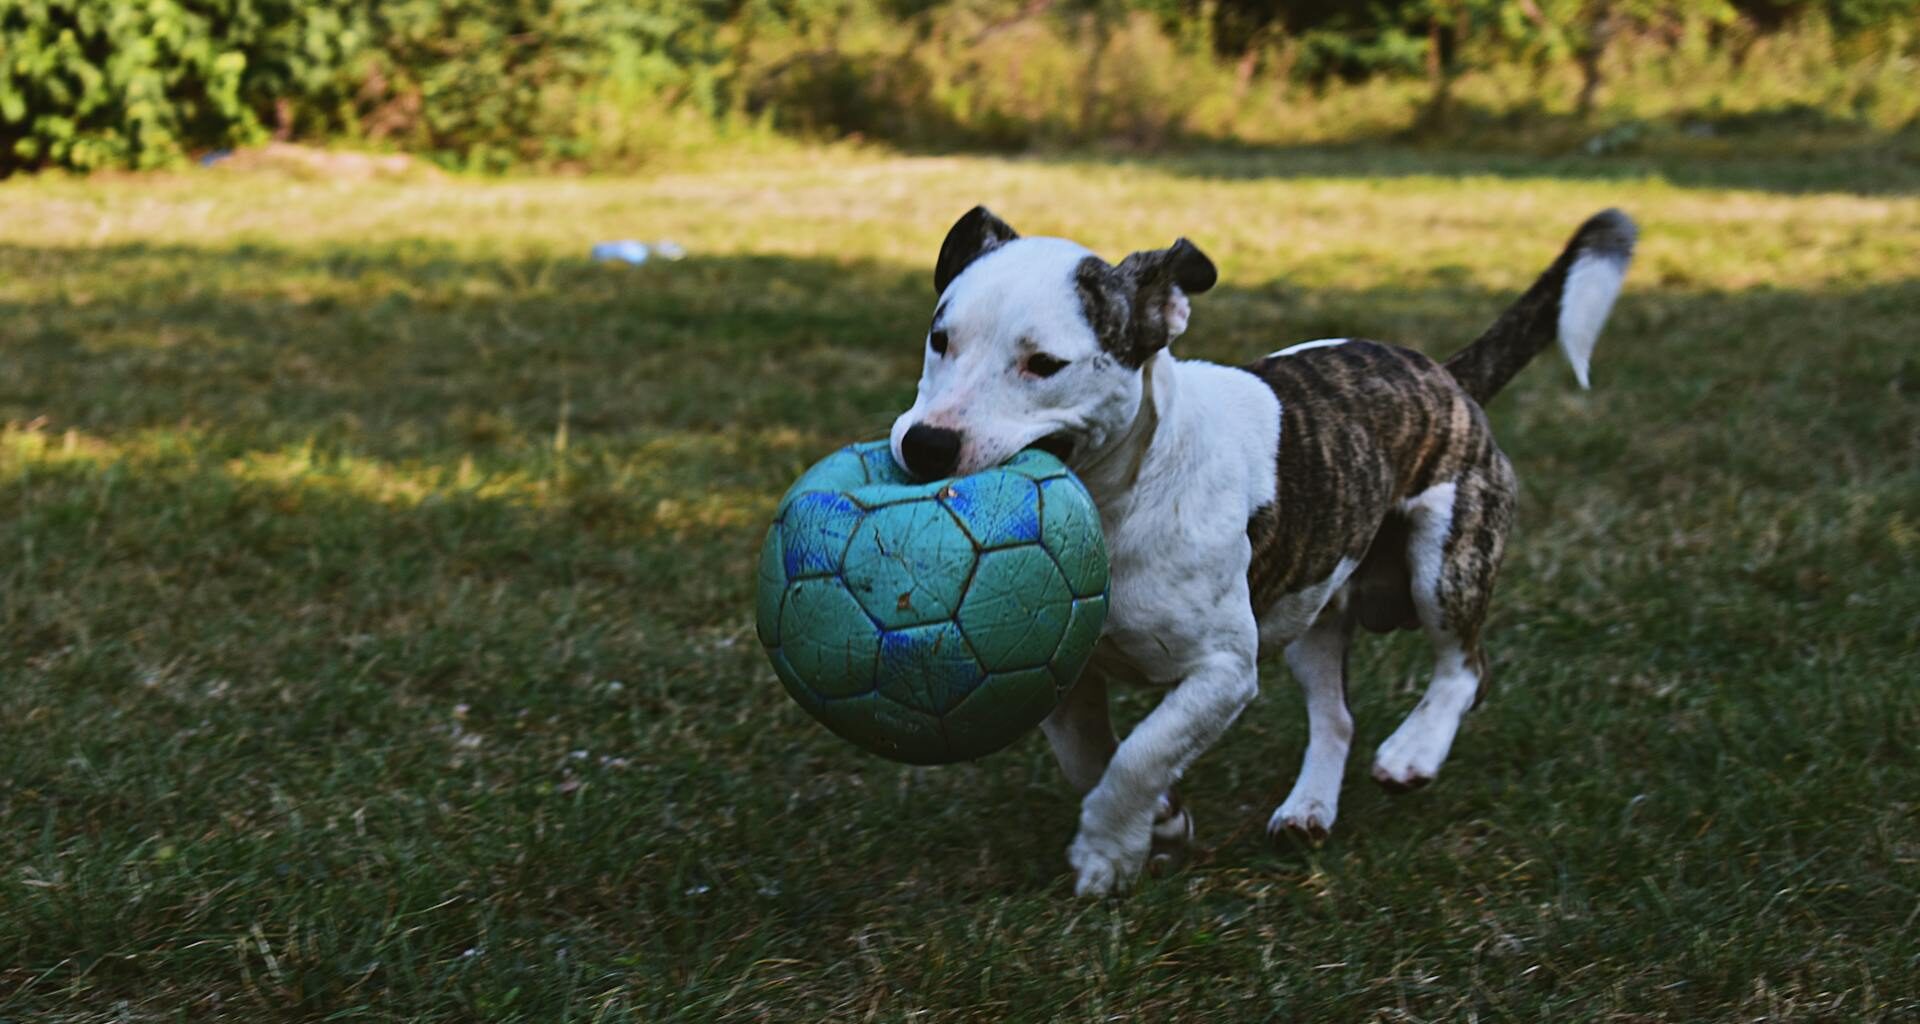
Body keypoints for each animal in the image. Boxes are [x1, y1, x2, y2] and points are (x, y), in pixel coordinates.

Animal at [883, 207, 1635, 895]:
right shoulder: (1053, 668)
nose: (927, 444)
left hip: (1448, 557)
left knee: (1465, 665)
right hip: (1314, 607)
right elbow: (1088, 756)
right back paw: (1308, 809)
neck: (1118, 500)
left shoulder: (1222, 670)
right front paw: (1161, 820)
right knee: (1335, 714)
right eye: (939, 338)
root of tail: (1444, 377)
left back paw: (1413, 752)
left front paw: (1106, 854)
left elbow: (1141, 753)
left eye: (1045, 365)